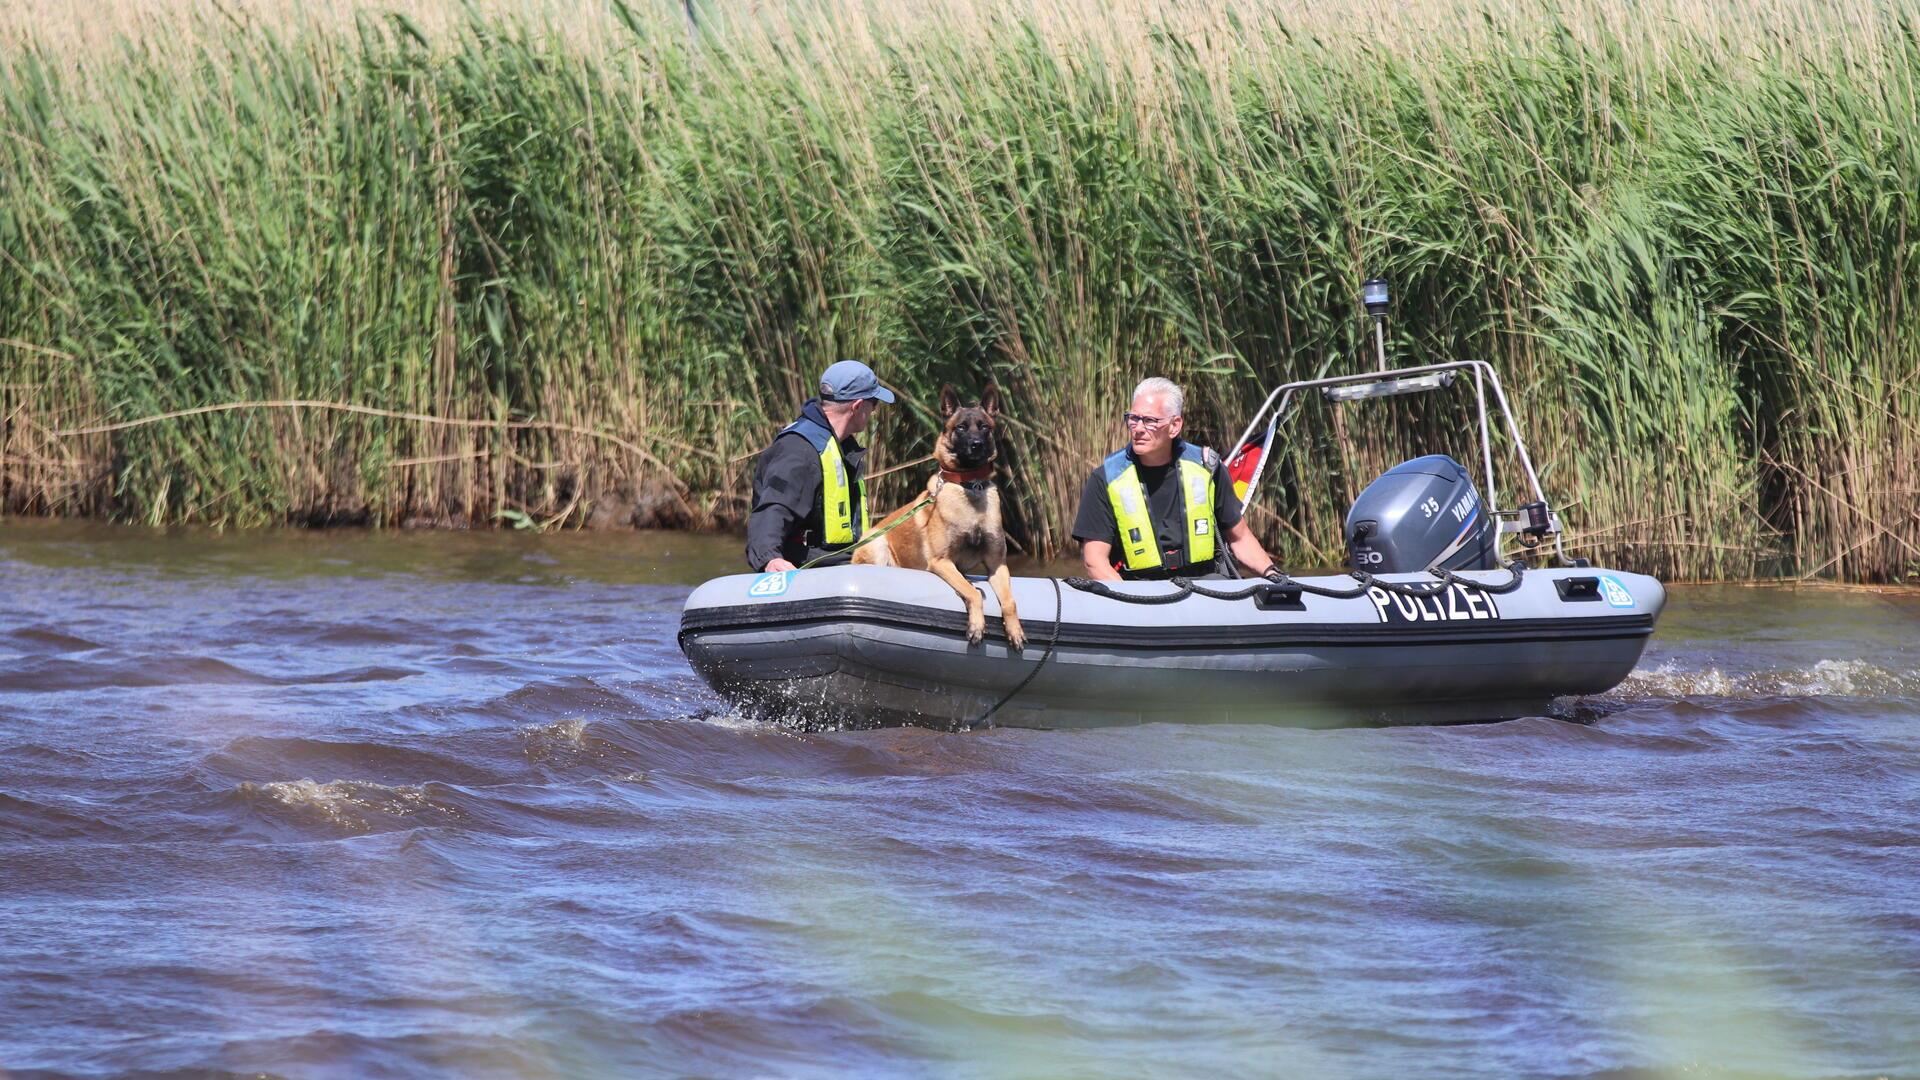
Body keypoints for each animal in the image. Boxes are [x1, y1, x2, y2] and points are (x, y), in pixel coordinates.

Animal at [856, 380, 1029, 645]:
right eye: (960, 428)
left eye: (984, 427)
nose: (976, 445)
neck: (970, 487)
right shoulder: (942, 562)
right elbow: (972, 592)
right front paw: (977, 625)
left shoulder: (997, 564)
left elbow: (1010, 601)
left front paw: (1015, 630)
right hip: (877, 545)